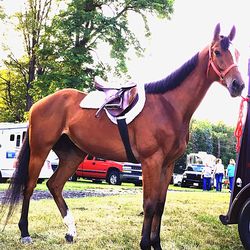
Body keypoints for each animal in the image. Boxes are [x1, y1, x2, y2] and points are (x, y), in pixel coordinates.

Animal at [1, 23, 244, 248]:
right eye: (217, 52)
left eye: (238, 53)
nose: (238, 85)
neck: (169, 107)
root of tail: (40, 103)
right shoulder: (151, 162)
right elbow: (149, 204)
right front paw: (145, 244)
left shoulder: (167, 165)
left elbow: (160, 205)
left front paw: (156, 244)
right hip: (40, 150)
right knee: (29, 187)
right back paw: (25, 232)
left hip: (73, 155)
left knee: (54, 185)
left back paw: (70, 232)